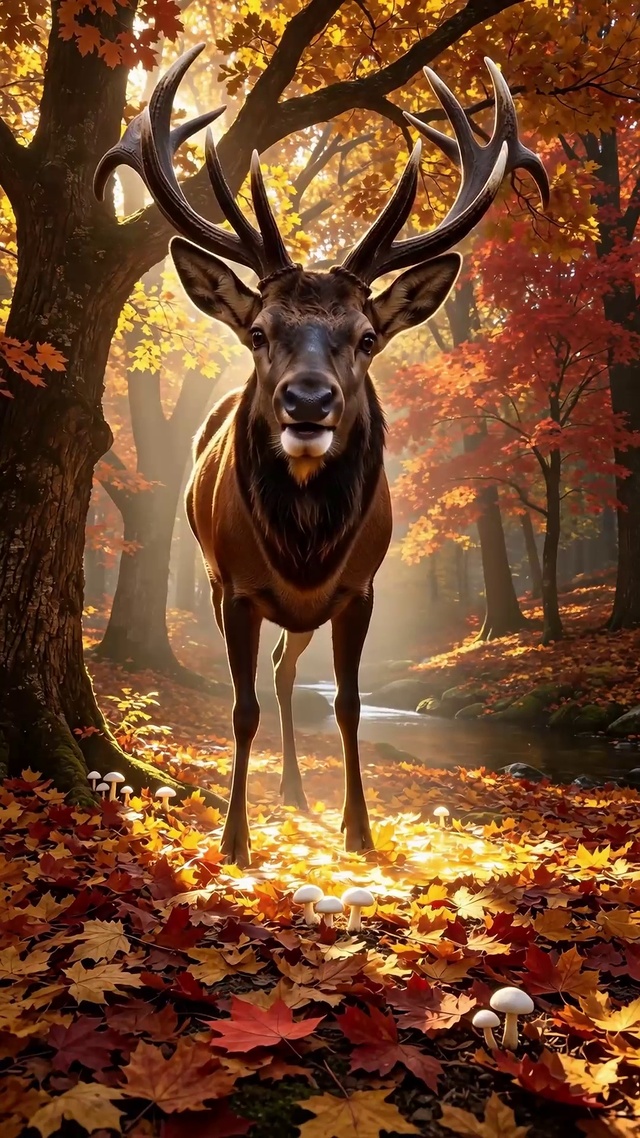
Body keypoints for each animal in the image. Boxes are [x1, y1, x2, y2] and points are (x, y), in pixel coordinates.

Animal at [95, 45, 549, 866]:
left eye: (366, 336)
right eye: (258, 330)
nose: (308, 402)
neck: (304, 546)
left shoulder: (358, 588)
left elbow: (348, 705)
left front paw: (358, 831)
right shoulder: (233, 586)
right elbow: (238, 708)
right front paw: (233, 839)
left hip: (310, 612)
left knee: (287, 672)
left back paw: (300, 794)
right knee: (272, 678)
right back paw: (285, 795)